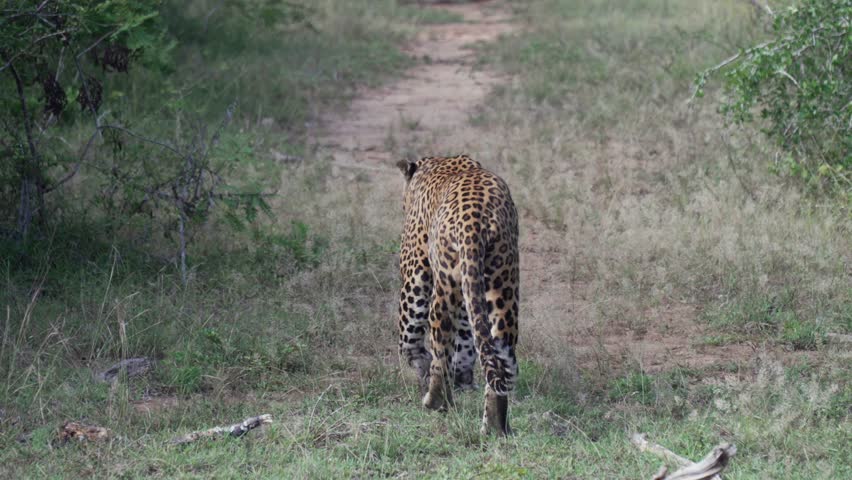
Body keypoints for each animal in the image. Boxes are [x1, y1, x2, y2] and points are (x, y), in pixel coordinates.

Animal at [396, 154, 519, 436]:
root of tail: (476, 220)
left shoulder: (415, 267)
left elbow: (408, 334)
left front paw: (418, 363)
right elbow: (466, 341)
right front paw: (463, 377)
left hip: (443, 285)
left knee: (441, 347)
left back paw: (435, 400)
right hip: (502, 283)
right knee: (499, 352)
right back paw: (495, 427)